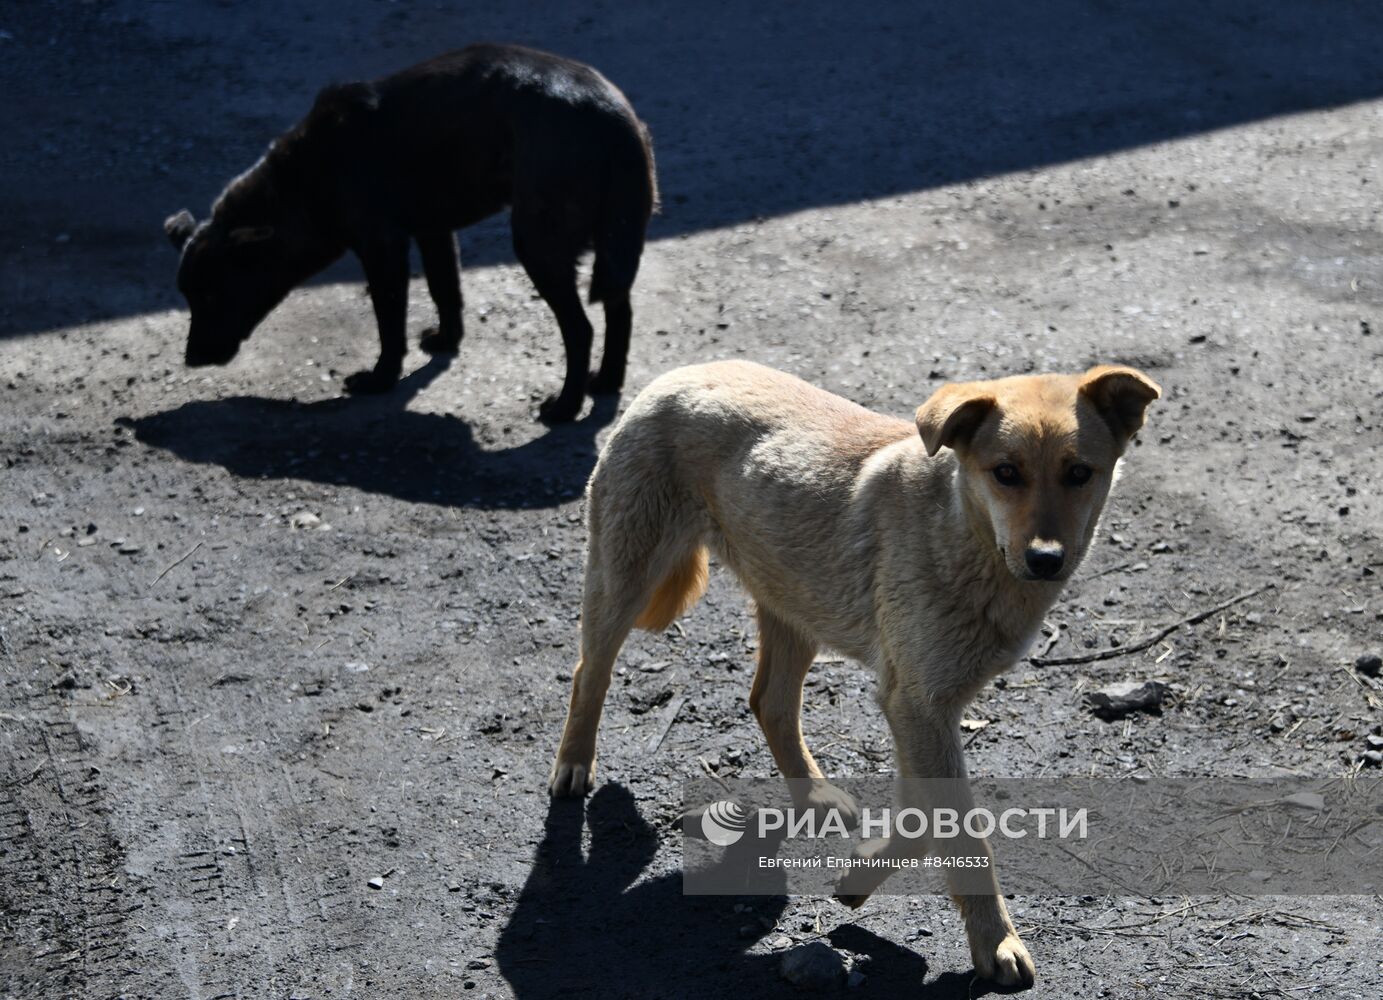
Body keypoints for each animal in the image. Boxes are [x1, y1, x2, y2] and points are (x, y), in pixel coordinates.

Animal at [161, 45, 658, 423]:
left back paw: (566, 407)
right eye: (188, 298)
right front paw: (446, 341)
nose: (190, 358)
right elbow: (445, 290)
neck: (304, 178)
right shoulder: (433, 231)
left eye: (212, 296)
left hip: (540, 245)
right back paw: (606, 381)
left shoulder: (382, 246)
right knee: (621, 308)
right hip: (613, 242)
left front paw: (381, 378)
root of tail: (615, 118)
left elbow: (388, 320)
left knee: (581, 329)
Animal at [547, 359, 1156, 984]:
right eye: (1006, 473)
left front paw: (861, 878)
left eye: (1079, 473)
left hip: (794, 605)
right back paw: (574, 764)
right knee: (589, 671)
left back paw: (813, 792)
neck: (964, 534)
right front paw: (995, 941)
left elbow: (925, 819)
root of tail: (685, 372)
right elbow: (961, 830)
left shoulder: (918, 710)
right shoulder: (918, 706)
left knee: (769, 701)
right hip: (626, 578)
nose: (1045, 560)